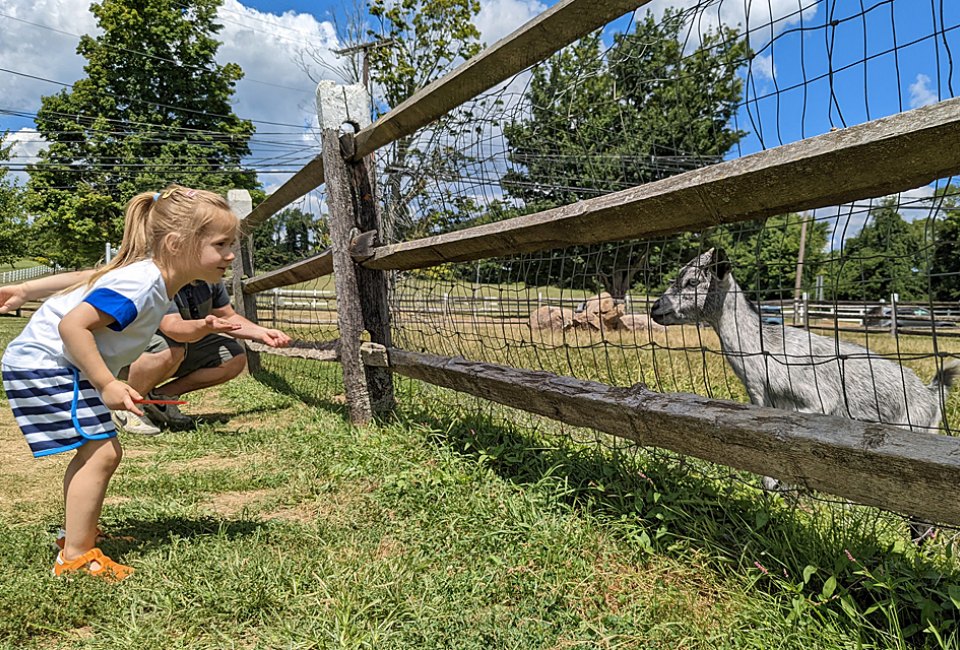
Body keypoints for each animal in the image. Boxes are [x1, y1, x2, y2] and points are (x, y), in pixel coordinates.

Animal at [648, 246, 956, 536]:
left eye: (692, 281)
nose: (655, 308)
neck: (764, 354)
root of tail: (931, 395)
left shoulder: (817, 400)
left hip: (910, 432)